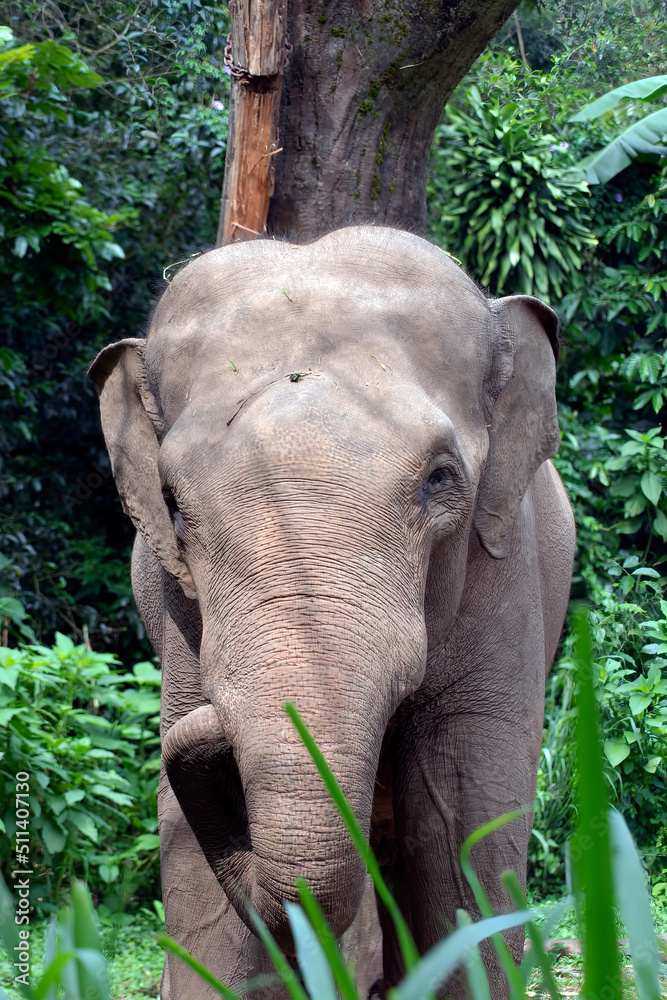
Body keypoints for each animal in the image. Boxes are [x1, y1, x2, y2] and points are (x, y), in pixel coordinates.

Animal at [89, 225, 575, 999]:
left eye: (441, 480)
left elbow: (462, 811)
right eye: (170, 503)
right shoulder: (176, 609)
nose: (209, 727)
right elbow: (186, 849)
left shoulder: (506, 569)